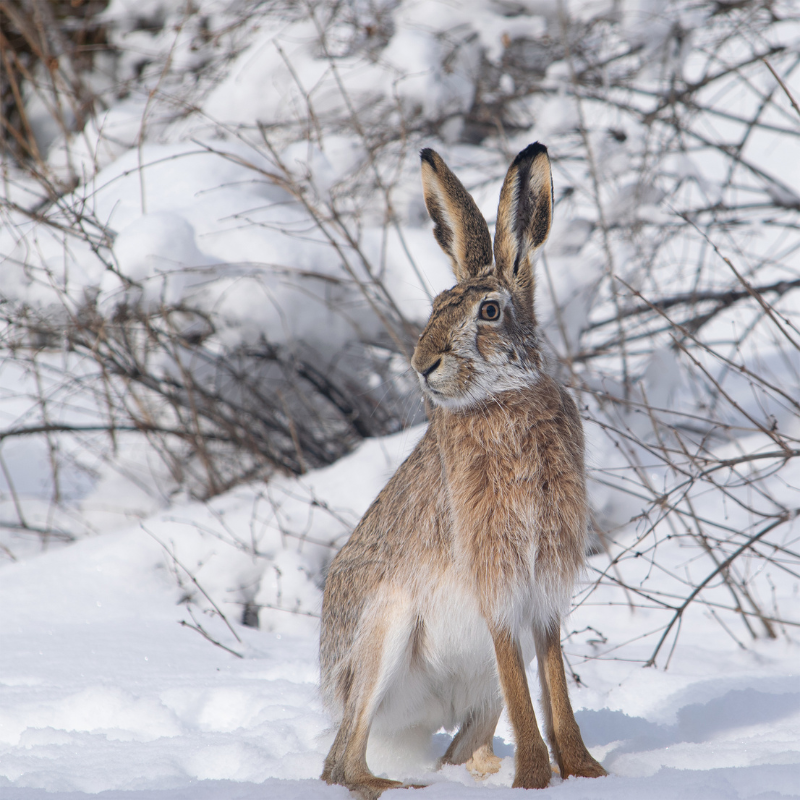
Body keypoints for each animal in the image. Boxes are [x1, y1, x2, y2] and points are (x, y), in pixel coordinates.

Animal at [319, 142, 606, 798]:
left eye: (490, 311)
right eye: (433, 309)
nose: (422, 364)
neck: (502, 399)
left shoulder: (543, 586)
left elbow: (552, 677)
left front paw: (584, 772)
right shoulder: (493, 572)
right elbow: (523, 678)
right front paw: (535, 780)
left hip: (473, 693)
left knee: (453, 746)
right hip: (384, 626)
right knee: (340, 764)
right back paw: (402, 787)